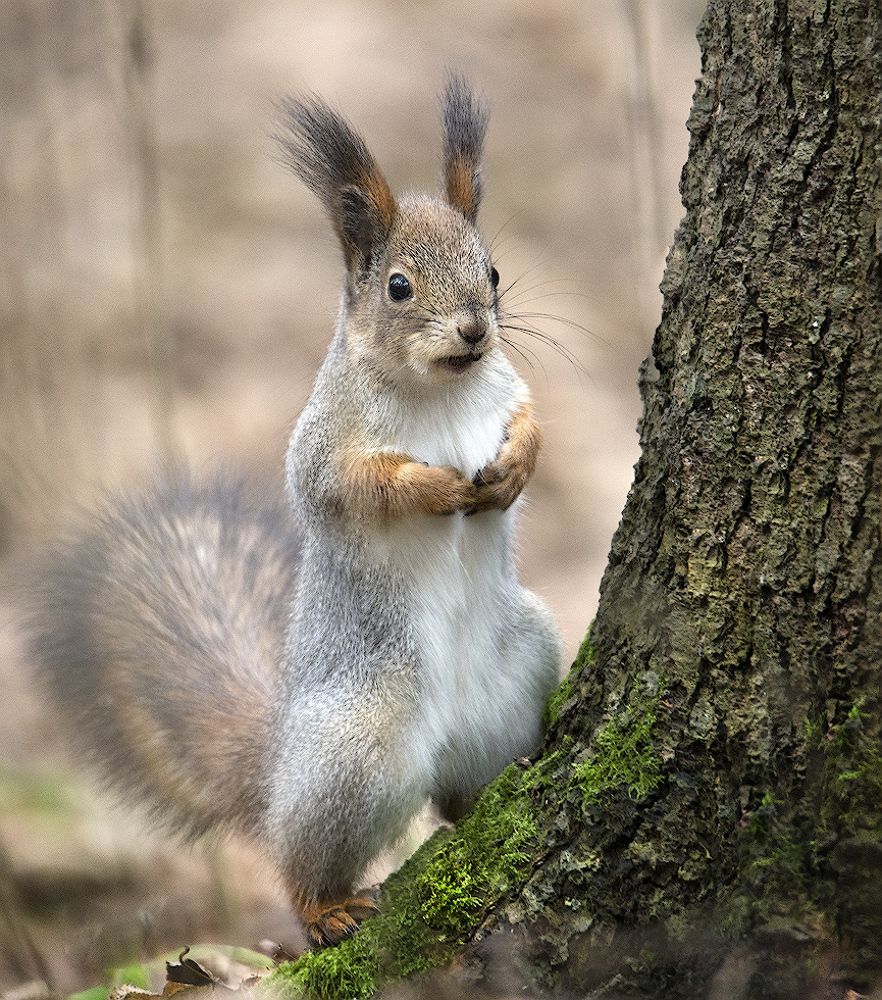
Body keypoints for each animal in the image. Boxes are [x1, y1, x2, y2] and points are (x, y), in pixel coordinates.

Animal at [27, 76, 561, 949]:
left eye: (492, 270)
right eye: (398, 286)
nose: (476, 331)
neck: (442, 391)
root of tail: (279, 766)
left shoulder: (505, 391)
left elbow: (529, 424)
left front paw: (512, 468)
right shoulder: (323, 447)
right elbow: (353, 487)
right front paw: (438, 490)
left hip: (524, 666)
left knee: (456, 801)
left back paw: (487, 790)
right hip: (354, 748)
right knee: (302, 859)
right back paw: (325, 907)